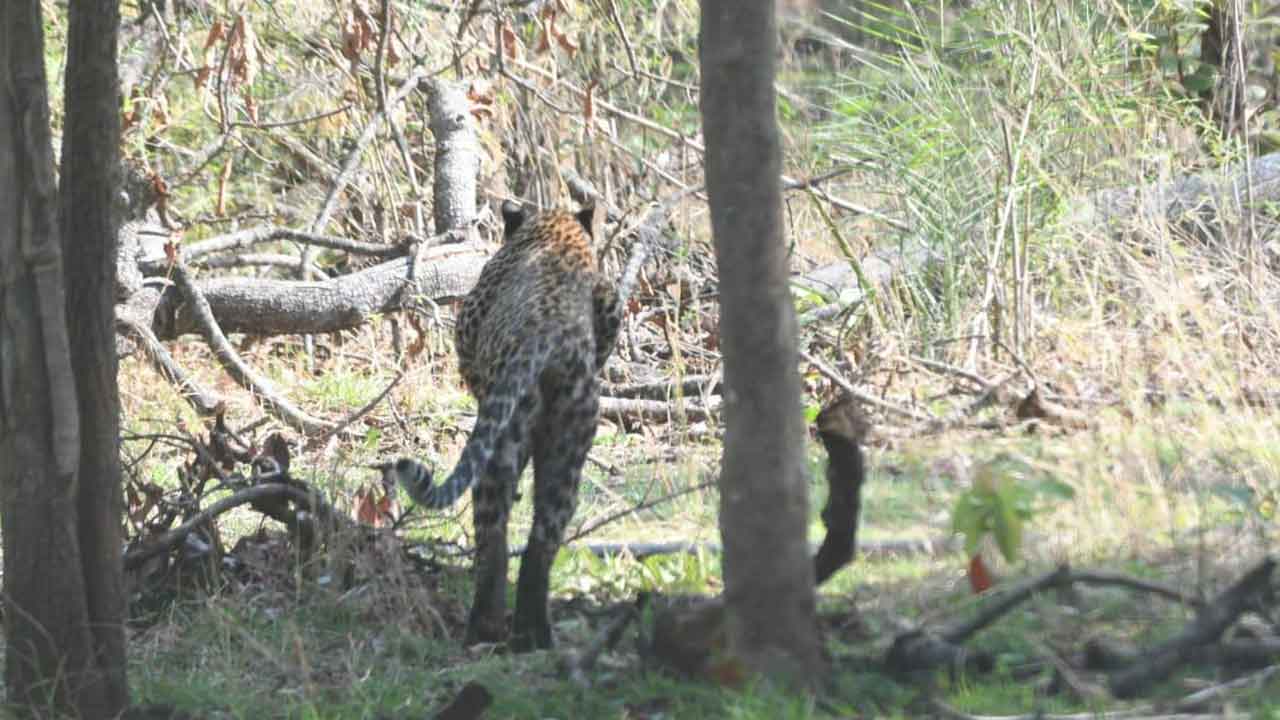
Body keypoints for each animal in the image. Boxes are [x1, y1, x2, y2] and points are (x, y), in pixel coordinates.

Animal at [378, 200, 621, 651]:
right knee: (542, 539)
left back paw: (484, 628)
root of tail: (547, 337)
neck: (554, 231)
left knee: (492, 536)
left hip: (502, 441)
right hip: (569, 443)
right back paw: (533, 633)